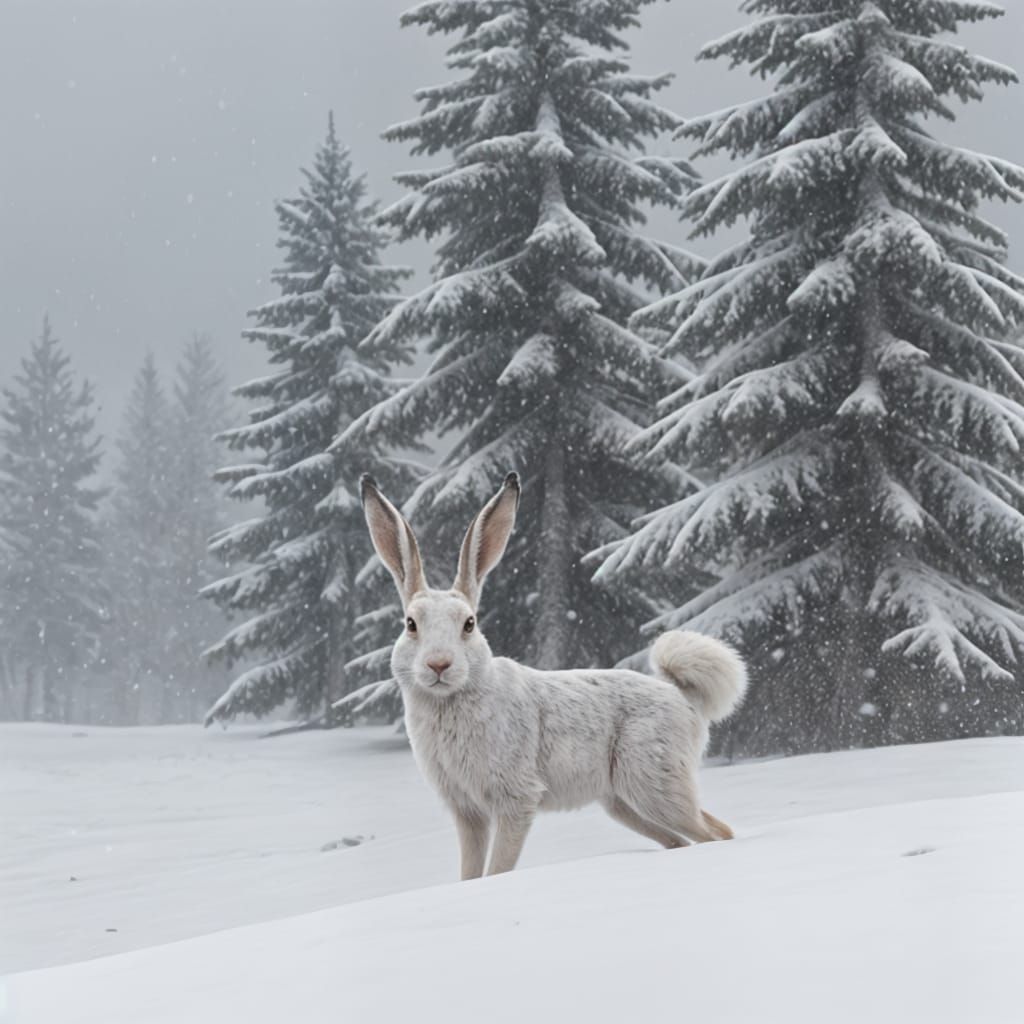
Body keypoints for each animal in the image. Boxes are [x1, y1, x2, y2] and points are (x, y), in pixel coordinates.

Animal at [360, 470, 747, 879]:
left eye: (469, 624)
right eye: (410, 624)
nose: (438, 664)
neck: (451, 698)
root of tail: (682, 697)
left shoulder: (516, 798)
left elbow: (499, 868)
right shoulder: (468, 811)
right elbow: (470, 872)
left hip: (653, 783)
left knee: (714, 832)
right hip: (623, 803)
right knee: (682, 839)